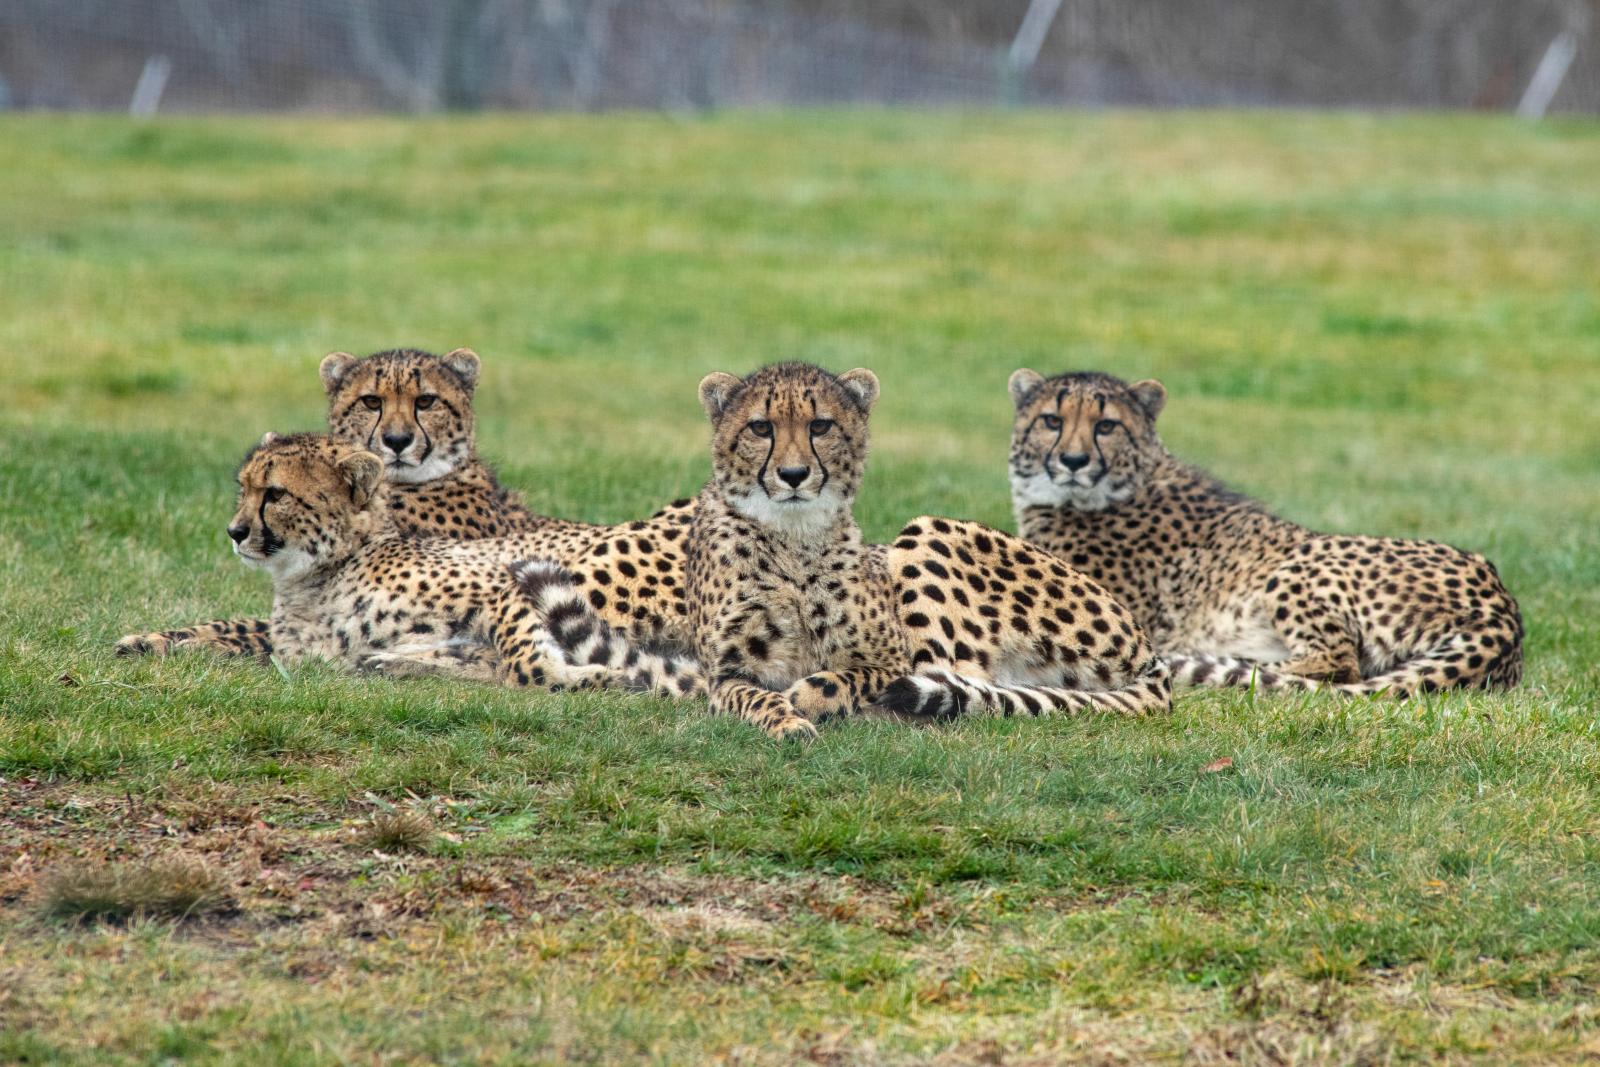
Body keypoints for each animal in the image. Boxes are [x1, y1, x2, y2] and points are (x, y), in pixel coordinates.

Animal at [114, 347, 696, 661]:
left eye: (426, 401)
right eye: (371, 400)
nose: (395, 441)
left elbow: (253, 632)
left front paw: (176, 644)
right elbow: (235, 622)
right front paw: (153, 638)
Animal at [513, 362, 1171, 740]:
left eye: (821, 426)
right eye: (761, 428)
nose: (794, 474)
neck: (792, 537)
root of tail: (1148, 650)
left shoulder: (892, 657)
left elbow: (854, 675)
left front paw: (812, 695)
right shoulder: (726, 671)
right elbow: (750, 694)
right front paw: (786, 719)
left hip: (928, 535)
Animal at [1006, 368, 1523, 697]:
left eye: (1107, 425)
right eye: (1051, 421)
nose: (1074, 461)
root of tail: (1503, 606)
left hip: (1303, 560)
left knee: (1338, 664)